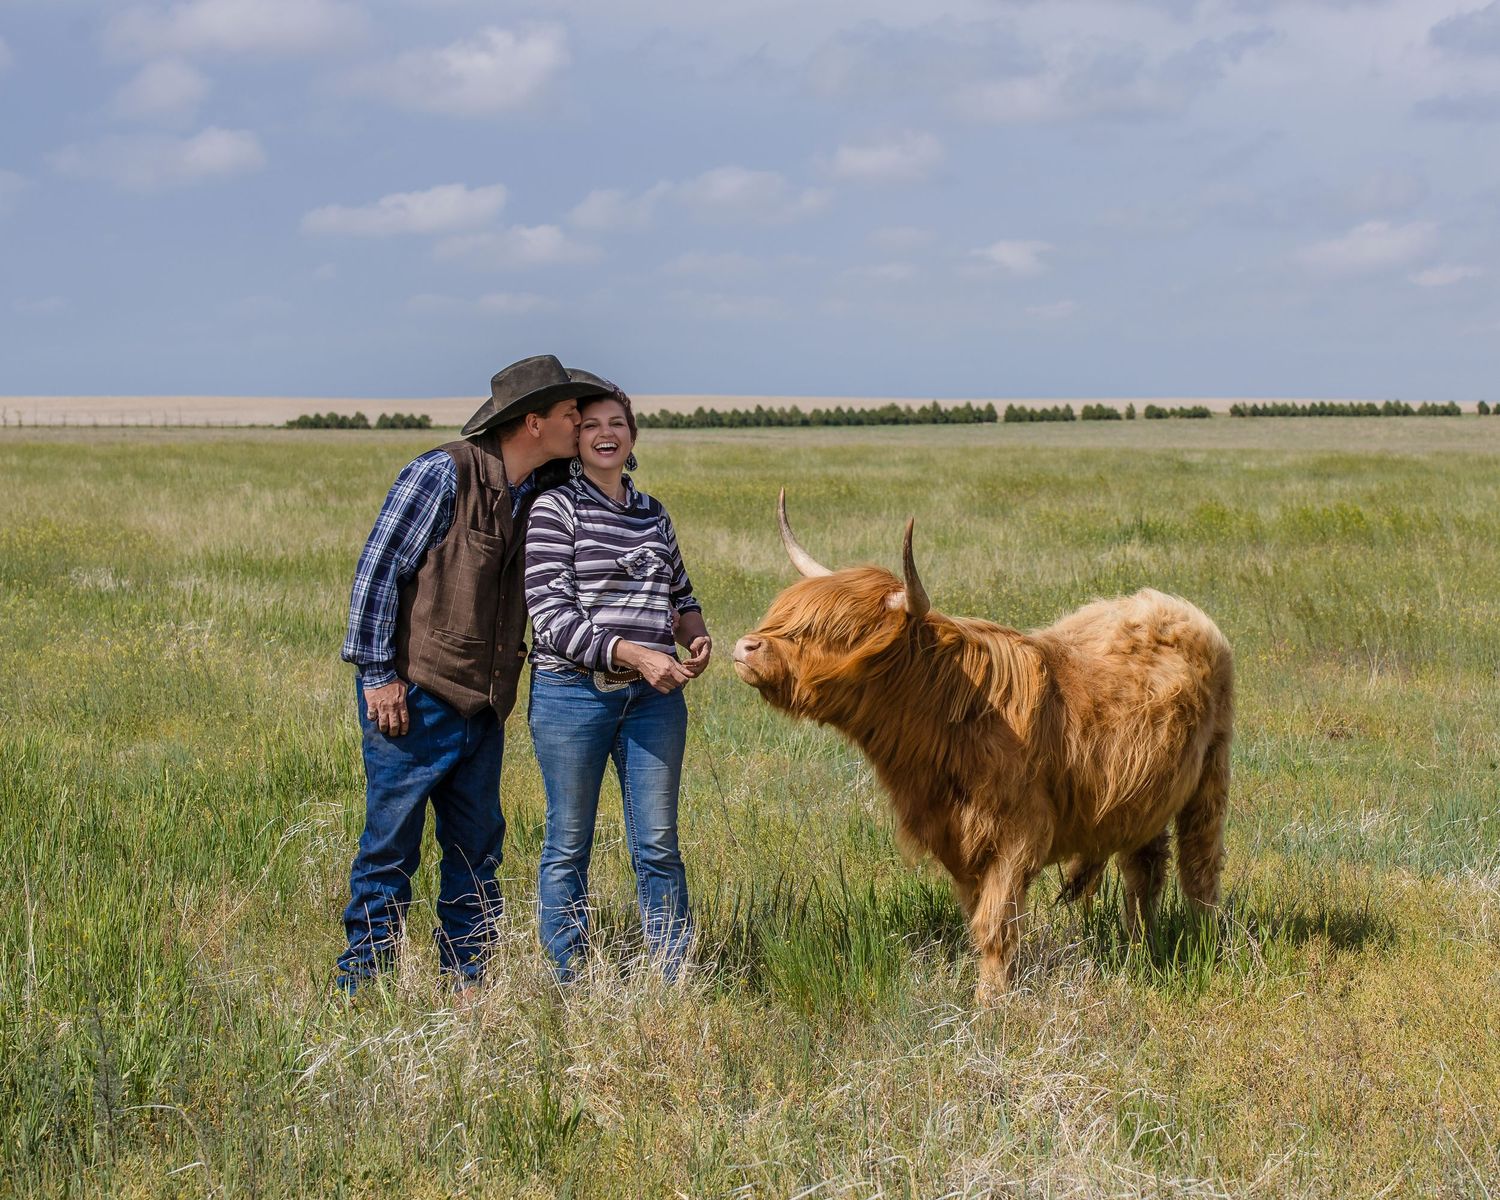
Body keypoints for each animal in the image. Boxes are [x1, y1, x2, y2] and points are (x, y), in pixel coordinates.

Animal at [731, 492, 1234, 1002]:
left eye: (840, 632)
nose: (745, 647)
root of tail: (1169, 604)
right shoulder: (958, 838)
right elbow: (980, 915)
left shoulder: (1018, 834)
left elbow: (995, 924)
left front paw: (990, 1003)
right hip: (1147, 796)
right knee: (1144, 870)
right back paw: (1139, 949)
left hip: (1211, 778)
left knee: (1199, 868)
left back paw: (1203, 947)